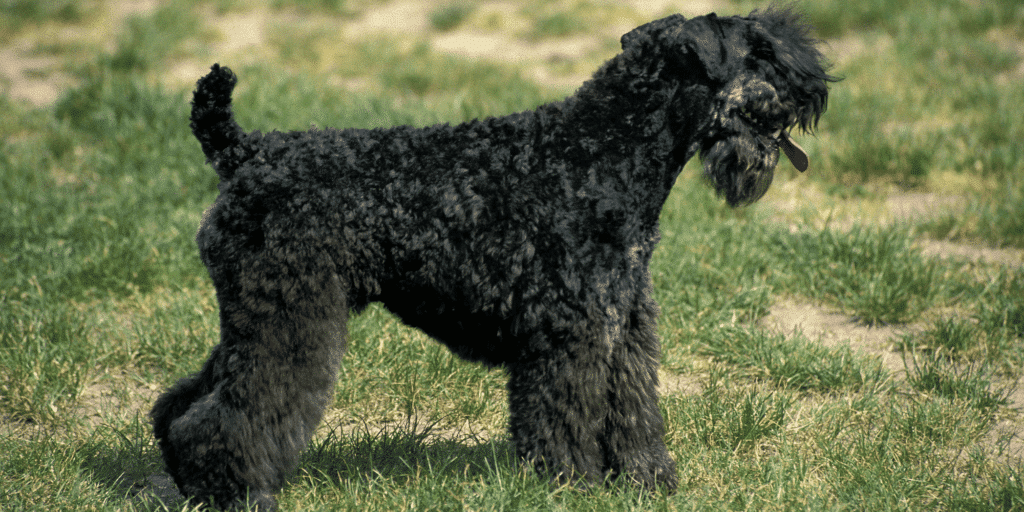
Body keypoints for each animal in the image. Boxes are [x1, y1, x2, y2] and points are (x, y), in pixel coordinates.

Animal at [153, 7, 839, 507]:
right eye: (760, 50)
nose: (816, 87)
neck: (602, 151)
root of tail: (245, 154)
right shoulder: (571, 329)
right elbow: (566, 413)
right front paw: (574, 486)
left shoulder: (624, 323)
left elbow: (634, 408)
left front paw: (648, 482)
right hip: (291, 316)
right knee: (236, 409)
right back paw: (236, 491)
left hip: (257, 315)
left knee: (187, 399)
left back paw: (189, 477)